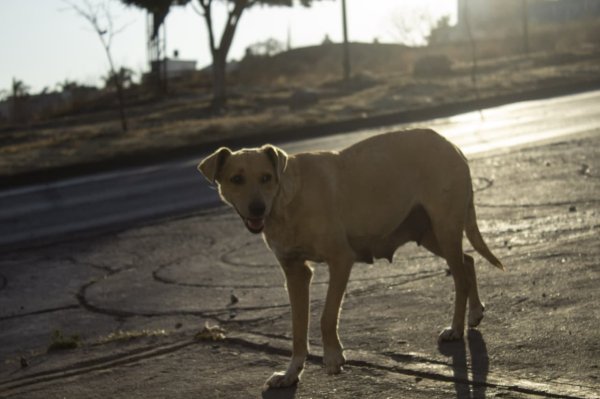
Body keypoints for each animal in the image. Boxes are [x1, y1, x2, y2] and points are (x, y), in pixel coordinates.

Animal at [199, 130, 504, 390]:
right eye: (236, 179)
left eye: (266, 178)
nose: (257, 208)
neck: (287, 200)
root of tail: (451, 145)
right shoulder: (295, 273)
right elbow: (298, 330)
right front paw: (290, 374)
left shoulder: (340, 260)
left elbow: (326, 316)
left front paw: (333, 357)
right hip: (429, 234)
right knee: (468, 261)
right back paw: (475, 312)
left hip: (444, 228)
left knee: (461, 277)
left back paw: (456, 328)